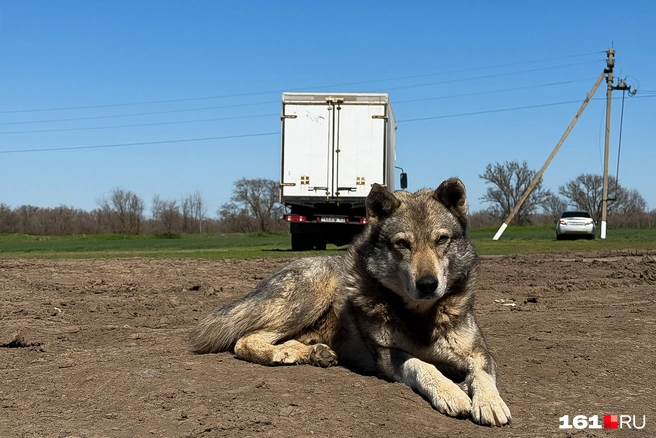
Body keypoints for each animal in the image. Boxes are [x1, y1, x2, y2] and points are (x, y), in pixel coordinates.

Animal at [190, 178, 511, 426]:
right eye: (402, 243)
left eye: (441, 240)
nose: (428, 284)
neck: (419, 315)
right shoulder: (387, 356)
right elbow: (422, 364)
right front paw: (451, 392)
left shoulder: (479, 352)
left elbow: (482, 374)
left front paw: (489, 402)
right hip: (312, 295)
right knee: (245, 340)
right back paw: (285, 353)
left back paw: (311, 352)